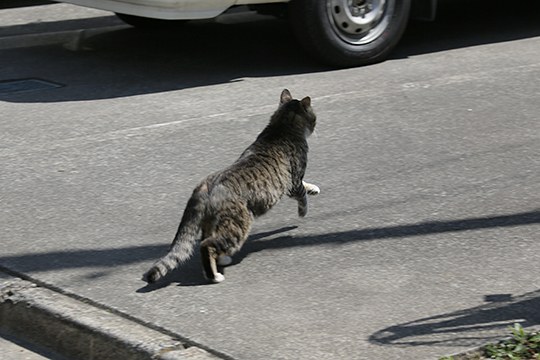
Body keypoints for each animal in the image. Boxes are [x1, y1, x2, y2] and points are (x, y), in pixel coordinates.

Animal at [143, 89, 320, 284]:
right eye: (314, 118)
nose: (315, 126)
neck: (281, 128)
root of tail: (205, 187)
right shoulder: (293, 181)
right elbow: (302, 194)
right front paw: (303, 211)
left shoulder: (291, 181)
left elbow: (306, 185)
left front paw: (313, 188)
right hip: (239, 224)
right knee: (207, 245)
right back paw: (214, 275)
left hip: (211, 223)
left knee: (208, 240)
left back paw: (221, 260)